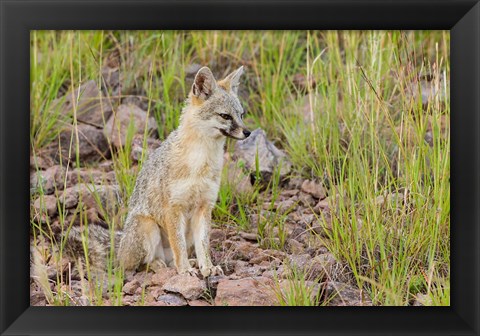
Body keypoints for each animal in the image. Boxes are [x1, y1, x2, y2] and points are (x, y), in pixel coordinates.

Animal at [67, 65, 251, 276]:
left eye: (241, 115)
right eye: (225, 116)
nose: (248, 132)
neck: (200, 162)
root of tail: (120, 244)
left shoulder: (204, 206)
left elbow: (203, 245)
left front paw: (208, 267)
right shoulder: (173, 207)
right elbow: (178, 245)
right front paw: (185, 270)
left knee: (171, 259)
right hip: (149, 227)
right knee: (135, 265)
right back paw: (157, 265)